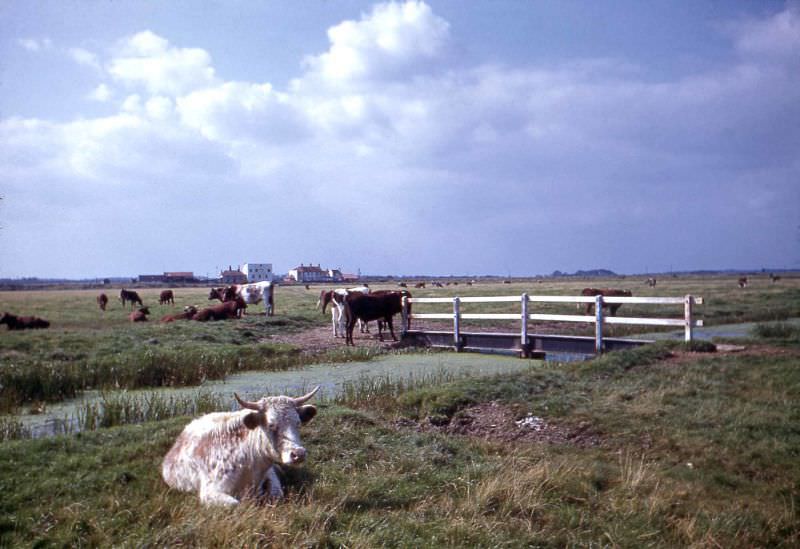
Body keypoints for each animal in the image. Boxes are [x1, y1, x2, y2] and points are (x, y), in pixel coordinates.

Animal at [161, 386, 320, 506]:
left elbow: (276, 494)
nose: (298, 454)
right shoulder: (209, 491)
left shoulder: (270, 475)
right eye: (271, 424)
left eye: (298, 423)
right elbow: (235, 504)